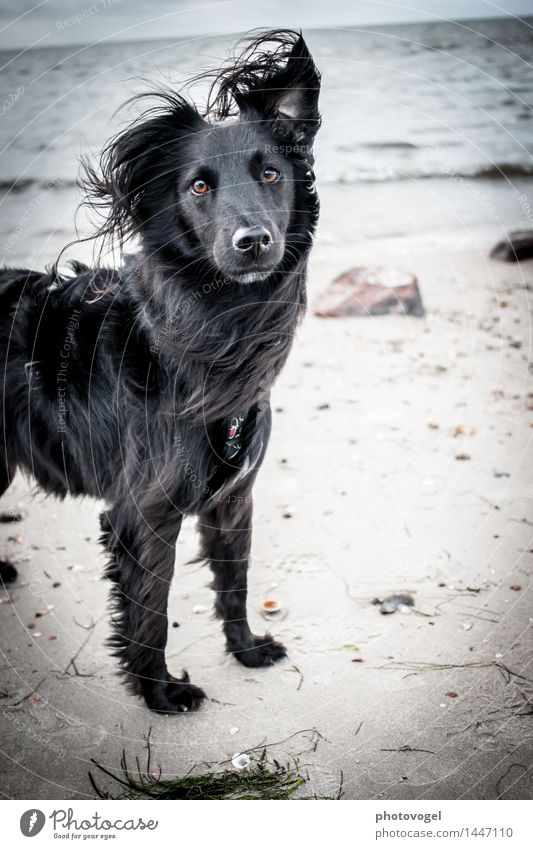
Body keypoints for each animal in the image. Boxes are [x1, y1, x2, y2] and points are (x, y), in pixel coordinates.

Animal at [0, 29, 320, 712]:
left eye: (271, 173)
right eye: (198, 187)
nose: (253, 242)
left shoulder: (234, 499)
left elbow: (234, 582)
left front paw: (246, 651)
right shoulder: (145, 514)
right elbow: (149, 612)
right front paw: (160, 694)